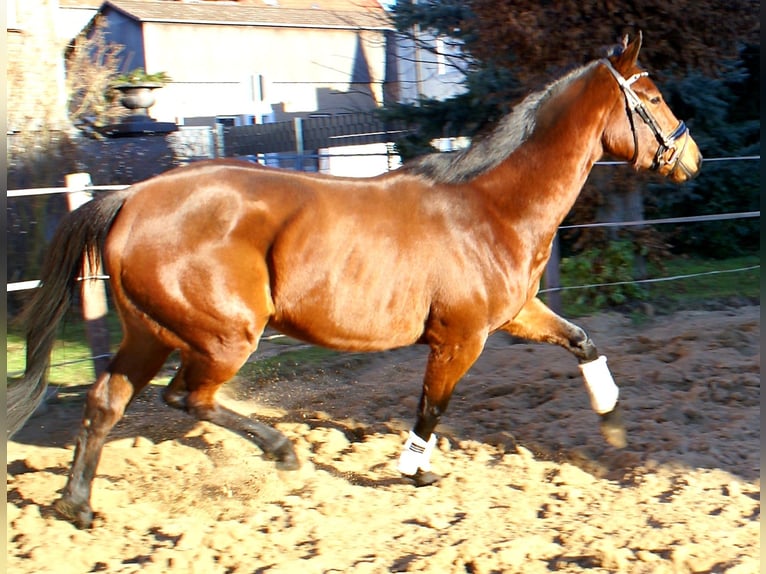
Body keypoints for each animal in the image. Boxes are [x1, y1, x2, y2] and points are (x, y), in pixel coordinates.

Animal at [7, 33, 701, 529]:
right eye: (653, 97)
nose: (691, 157)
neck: (491, 208)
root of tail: (128, 199)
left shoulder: (514, 315)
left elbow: (583, 340)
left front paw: (614, 425)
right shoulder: (461, 337)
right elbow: (432, 406)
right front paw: (416, 471)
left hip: (151, 333)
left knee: (107, 402)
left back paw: (76, 506)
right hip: (223, 336)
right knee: (187, 399)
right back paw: (283, 452)